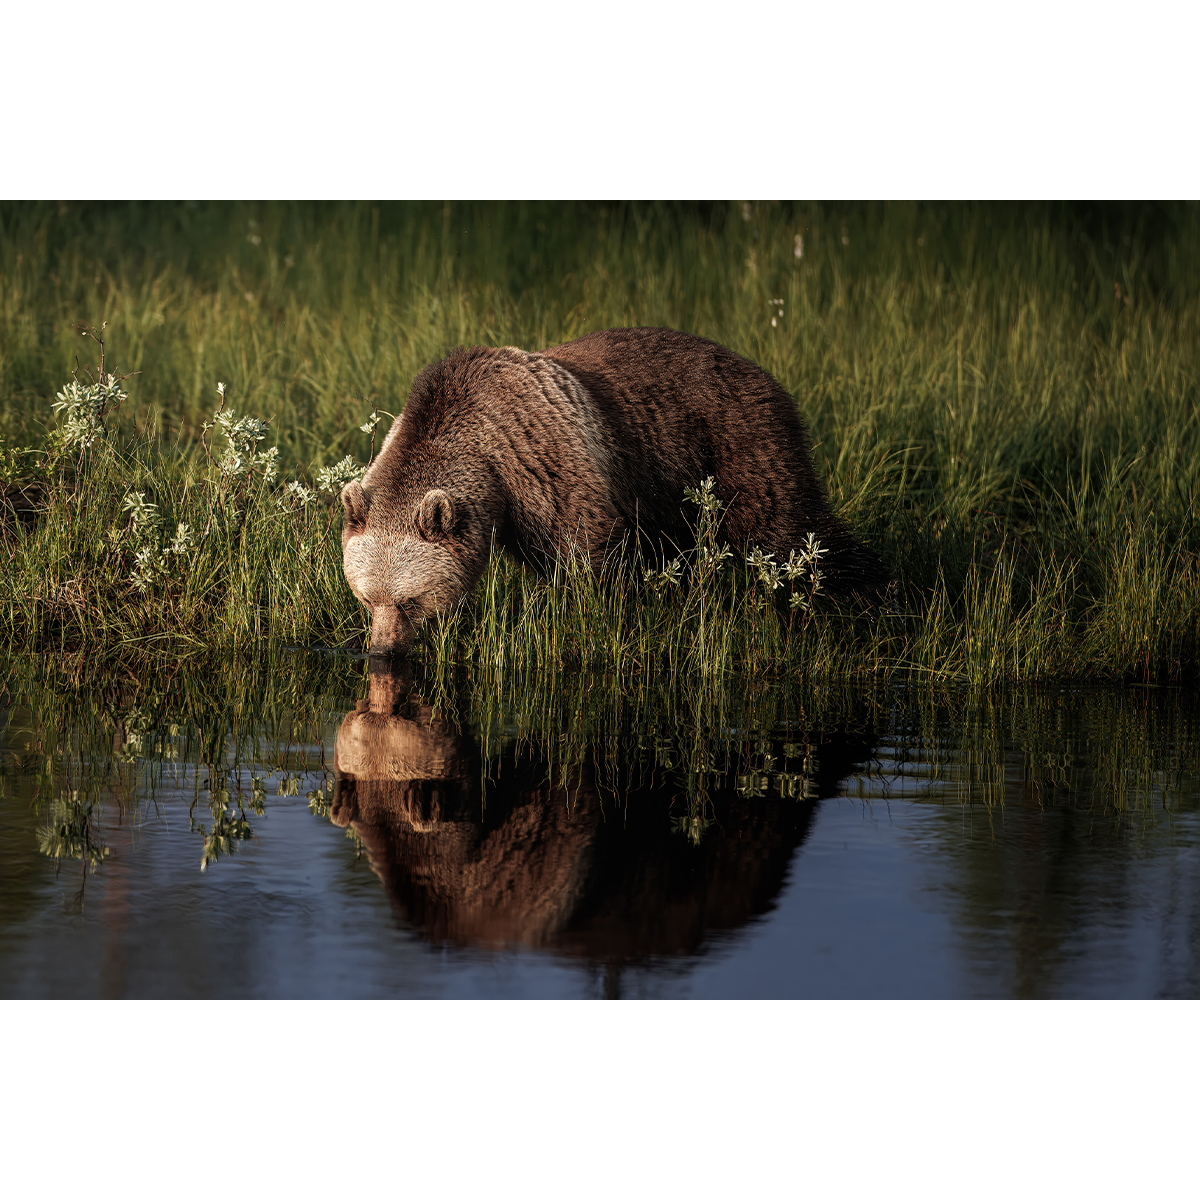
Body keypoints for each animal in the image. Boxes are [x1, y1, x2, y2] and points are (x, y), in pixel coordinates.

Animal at [340, 326, 889, 656]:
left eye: (410, 599)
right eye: (365, 597)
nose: (382, 651)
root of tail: (761, 371)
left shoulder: (547, 464)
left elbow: (589, 558)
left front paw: (592, 616)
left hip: (735, 443)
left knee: (785, 528)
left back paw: (869, 592)